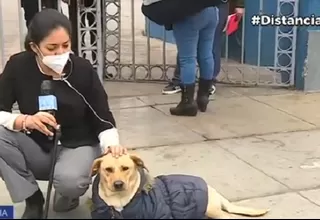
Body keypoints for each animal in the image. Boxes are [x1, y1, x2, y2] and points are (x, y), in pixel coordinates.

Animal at [90, 153, 270, 218]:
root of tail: (214, 191)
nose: (118, 184)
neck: (120, 201)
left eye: (126, 168)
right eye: (108, 169)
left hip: (211, 211)